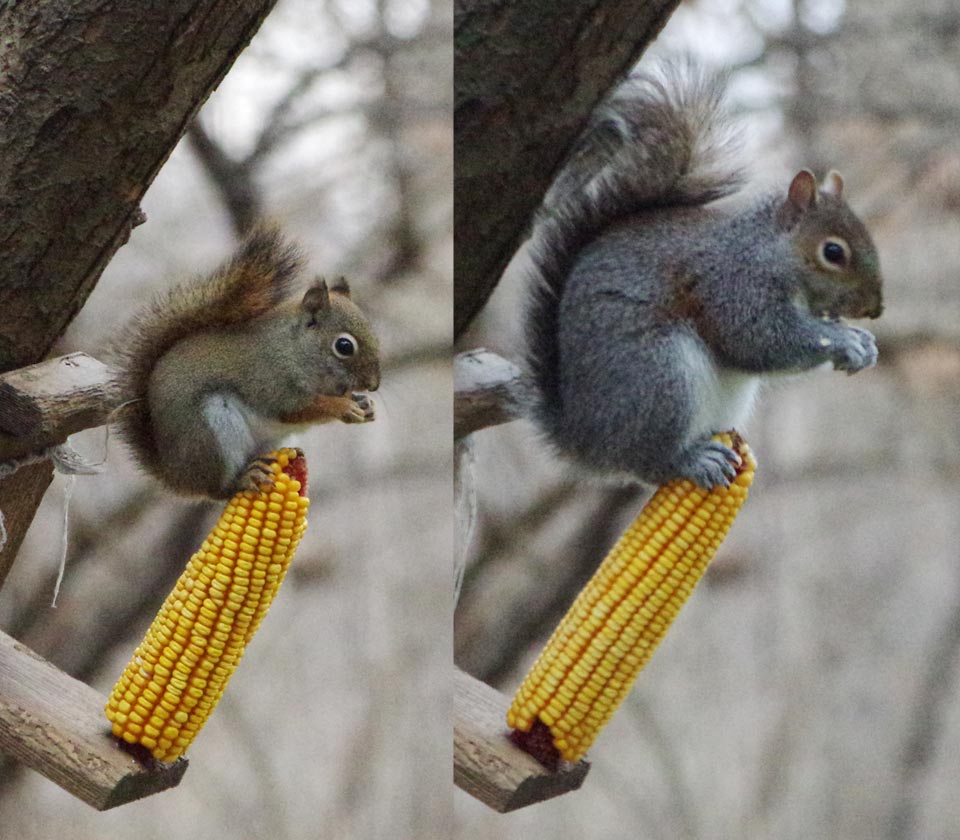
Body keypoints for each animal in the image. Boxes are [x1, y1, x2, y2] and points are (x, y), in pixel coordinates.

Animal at [114, 226, 380, 499]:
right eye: (344, 346)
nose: (374, 385)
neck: (294, 349)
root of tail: (177, 475)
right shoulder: (271, 381)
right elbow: (301, 409)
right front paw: (343, 407)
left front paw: (365, 404)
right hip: (212, 429)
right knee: (219, 490)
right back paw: (243, 478)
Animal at [525, 63, 883, 489]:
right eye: (833, 252)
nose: (875, 309)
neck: (766, 252)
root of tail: (584, 438)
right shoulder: (731, 284)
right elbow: (759, 338)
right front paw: (845, 340)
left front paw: (864, 343)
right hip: (657, 375)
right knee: (647, 460)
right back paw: (691, 461)